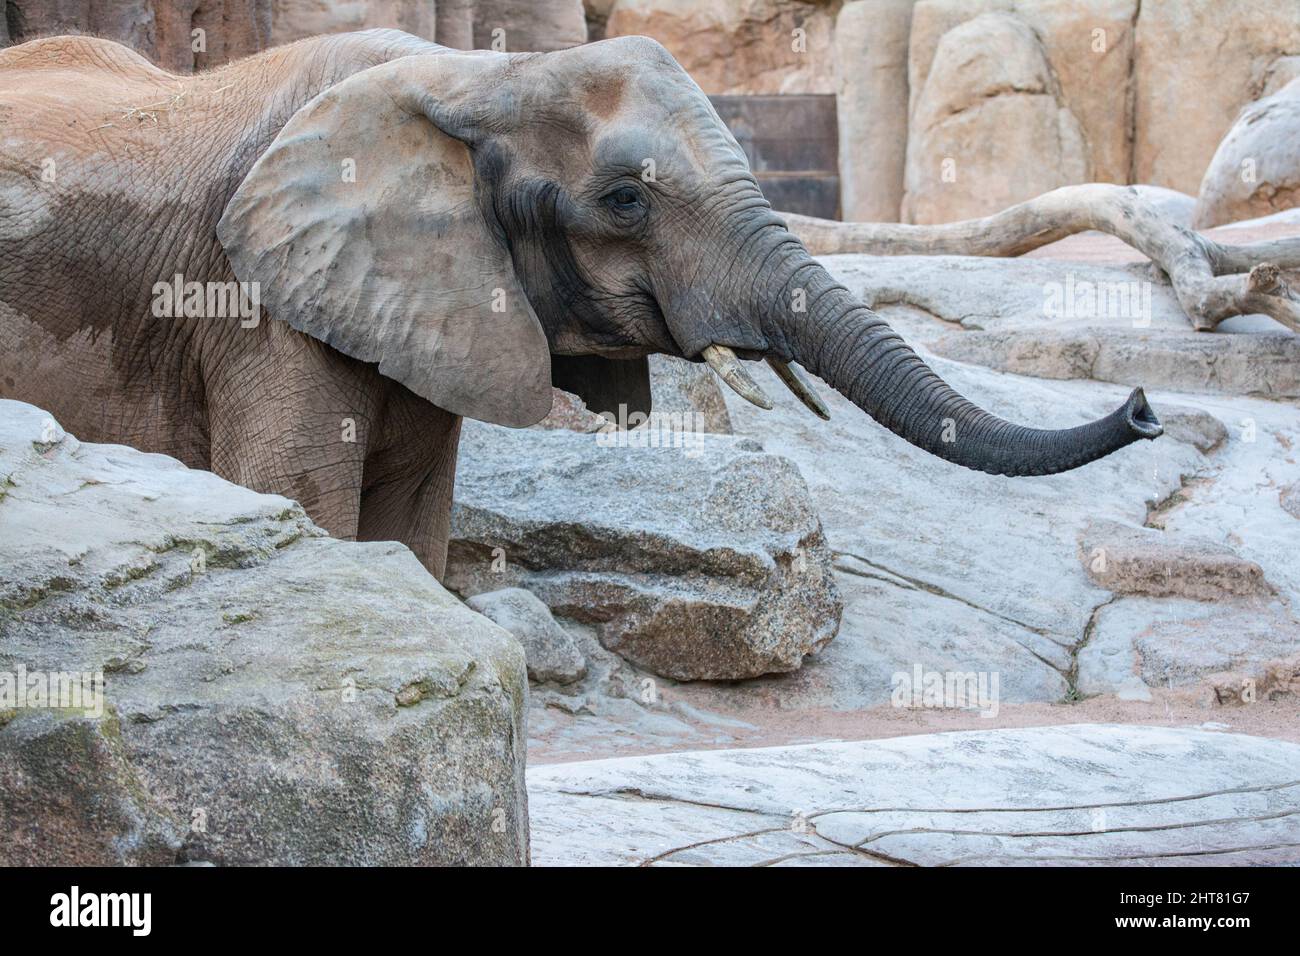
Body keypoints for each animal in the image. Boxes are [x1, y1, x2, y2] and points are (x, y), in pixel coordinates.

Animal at [0, 29, 1164, 580]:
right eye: (625, 200)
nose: (1146, 406)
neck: (473, 75)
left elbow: (412, 529)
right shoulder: (256, 304)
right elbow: (303, 508)